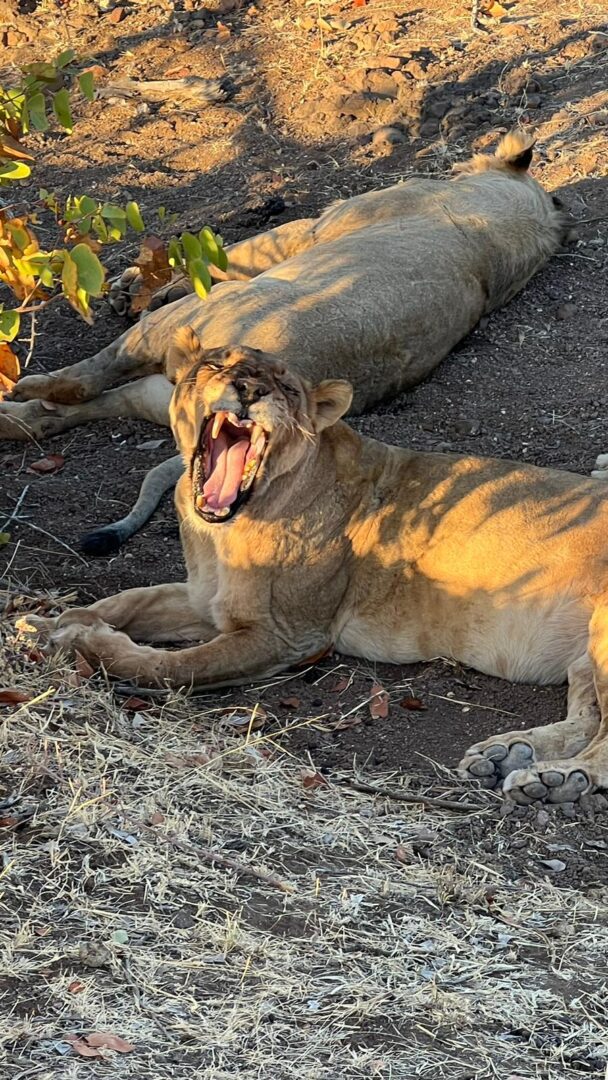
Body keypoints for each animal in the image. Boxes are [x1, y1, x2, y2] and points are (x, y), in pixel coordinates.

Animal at [2, 133, 570, 552]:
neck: (513, 222)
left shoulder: (313, 226)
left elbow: (228, 252)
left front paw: (135, 284)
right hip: (159, 392)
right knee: (65, 413)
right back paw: (12, 419)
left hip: (187, 321)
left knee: (85, 381)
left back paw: (31, 386)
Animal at [24, 324, 608, 807]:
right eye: (215, 364)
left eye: (286, 389)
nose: (249, 391)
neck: (224, 528)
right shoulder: (204, 598)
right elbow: (127, 600)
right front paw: (45, 623)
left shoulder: (288, 636)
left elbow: (172, 667)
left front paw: (87, 643)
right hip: (583, 657)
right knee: (588, 716)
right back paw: (509, 754)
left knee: (604, 740)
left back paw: (557, 779)